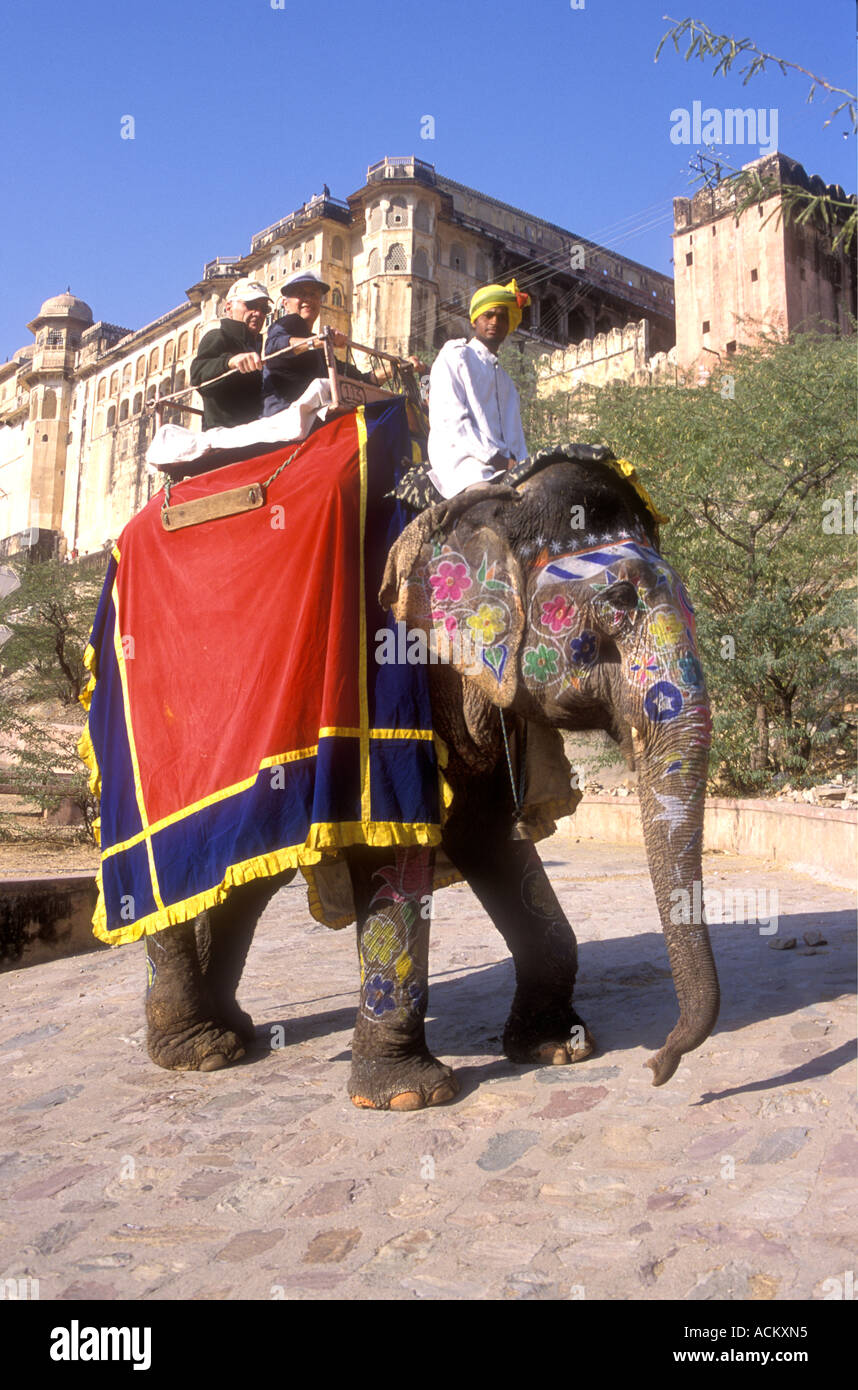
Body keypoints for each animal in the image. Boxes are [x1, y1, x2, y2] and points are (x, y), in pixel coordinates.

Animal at [145, 450, 717, 1112]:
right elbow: (392, 849)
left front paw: (558, 1048)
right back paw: (198, 1052)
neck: (481, 506)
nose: (657, 1067)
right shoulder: (378, 700)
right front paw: (410, 1097)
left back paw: (229, 1037)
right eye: (618, 602)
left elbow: (490, 836)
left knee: (243, 879)